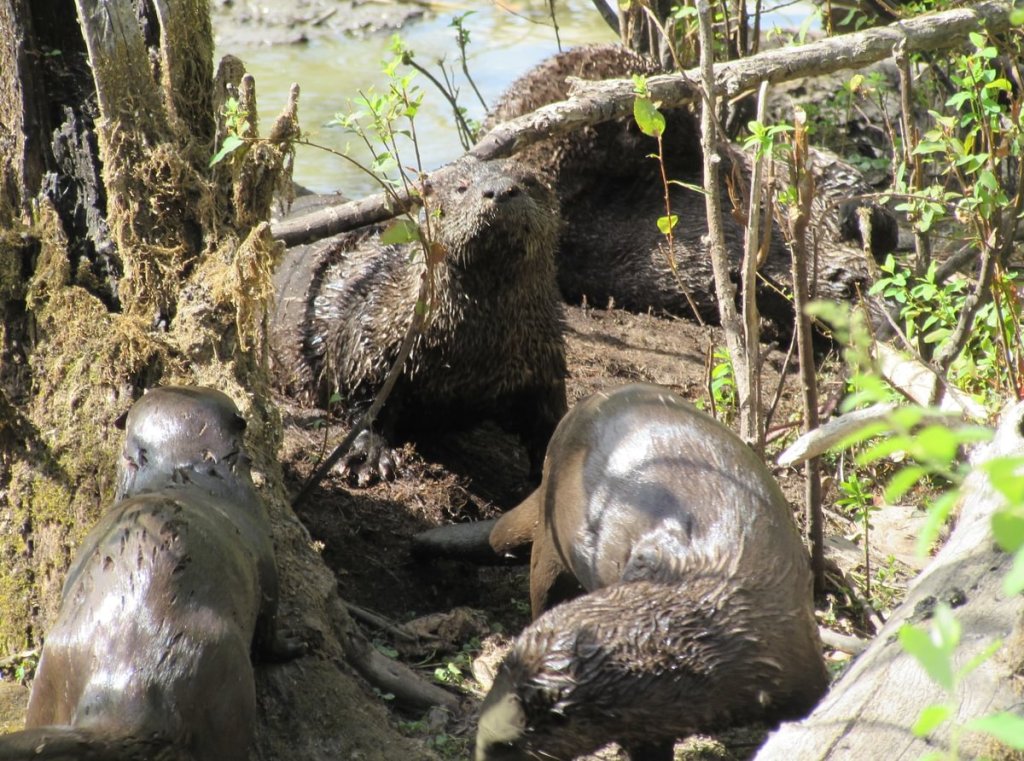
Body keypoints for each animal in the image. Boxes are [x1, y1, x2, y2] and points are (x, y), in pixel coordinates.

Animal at [0, 387, 302, 761]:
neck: (184, 475)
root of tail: (128, 690)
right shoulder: (266, 559)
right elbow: (269, 630)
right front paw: (293, 643)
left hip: (52, 674)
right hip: (225, 688)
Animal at [270, 156, 567, 484]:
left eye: (529, 182)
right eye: (462, 188)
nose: (501, 190)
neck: (473, 352)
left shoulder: (544, 355)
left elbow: (550, 418)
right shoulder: (368, 335)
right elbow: (366, 399)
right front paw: (368, 456)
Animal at [474, 384, 829, 761]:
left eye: (506, 744)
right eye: (480, 728)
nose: (480, 755)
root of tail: (583, 406)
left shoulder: (800, 666)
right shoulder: (644, 721)